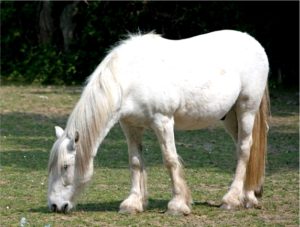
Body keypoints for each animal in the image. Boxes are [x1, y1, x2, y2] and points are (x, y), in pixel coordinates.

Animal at [47, 30, 270, 215]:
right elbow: (135, 162)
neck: (131, 77)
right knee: (247, 149)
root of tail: (254, 43)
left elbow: (170, 160)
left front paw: (177, 205)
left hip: (246, 109)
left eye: (66, 166)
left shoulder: (163, 121)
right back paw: (248, 197)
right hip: (230, 117)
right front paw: (133, 204)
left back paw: (231, 200)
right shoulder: (130, 126)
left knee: (244, 150)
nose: (55, 205)